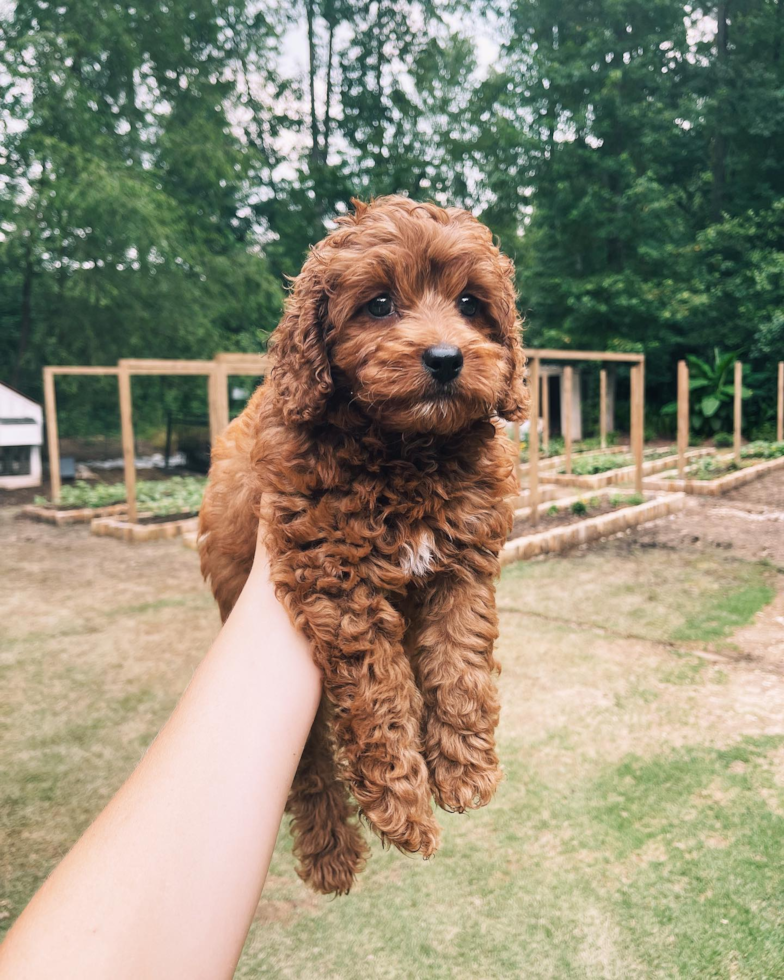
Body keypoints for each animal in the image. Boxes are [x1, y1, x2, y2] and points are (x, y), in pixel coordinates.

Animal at [198, 197, 528, 896]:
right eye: (378, 304)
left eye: (470, 303)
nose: (445, 358)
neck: (406, 449)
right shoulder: (334, 573)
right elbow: (380, 695)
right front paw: (405, 808)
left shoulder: (464, 560)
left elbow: (460, 660)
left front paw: (465, 770)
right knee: (308, 761)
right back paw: (331, 853)